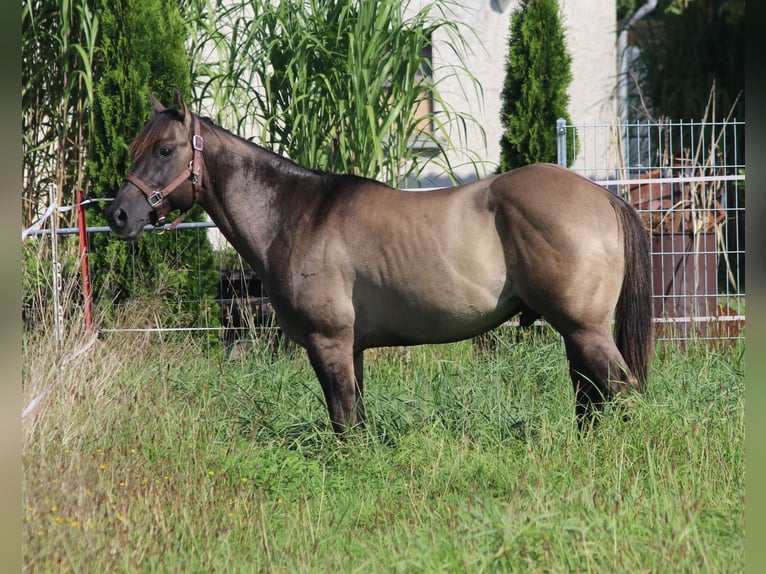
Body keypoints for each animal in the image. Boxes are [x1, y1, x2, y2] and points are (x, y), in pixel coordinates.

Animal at [106, 91, 656, 432]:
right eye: (137, 147)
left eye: (165, 149)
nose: (118, 214)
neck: (297, 215)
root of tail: (603, 195)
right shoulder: (351, 348)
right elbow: (356, 417)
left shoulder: (328, 342)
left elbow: (343, 419)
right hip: (576, 332)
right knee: (591, 397)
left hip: (584, 327)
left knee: (621, 391)